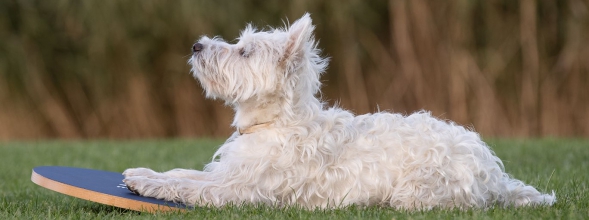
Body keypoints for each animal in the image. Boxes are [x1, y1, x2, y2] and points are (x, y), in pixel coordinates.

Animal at [121, 13, 552, 210]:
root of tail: (495, 175)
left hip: (416, 193)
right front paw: (142, 173)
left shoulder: (239, 191)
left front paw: (144, 182)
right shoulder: (230, 173)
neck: (273, 124)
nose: (196, 45)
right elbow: (182, 172)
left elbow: (190, 187)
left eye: (244, 51)